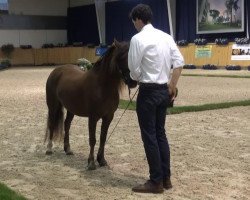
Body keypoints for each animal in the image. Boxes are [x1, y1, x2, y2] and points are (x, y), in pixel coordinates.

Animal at [43, 39, 137, 170]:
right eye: (122, 57)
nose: (133, 82)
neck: (103, 87)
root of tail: (57, 70)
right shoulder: (93, 117)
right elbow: (93, 139)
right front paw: (91, 162)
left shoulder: (108, 117)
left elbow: (103, 138)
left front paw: (102, 160)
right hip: (53, 105)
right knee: (51, 124)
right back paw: (49, 148)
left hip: (71, 109)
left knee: (67, 125)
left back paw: (68, 149)